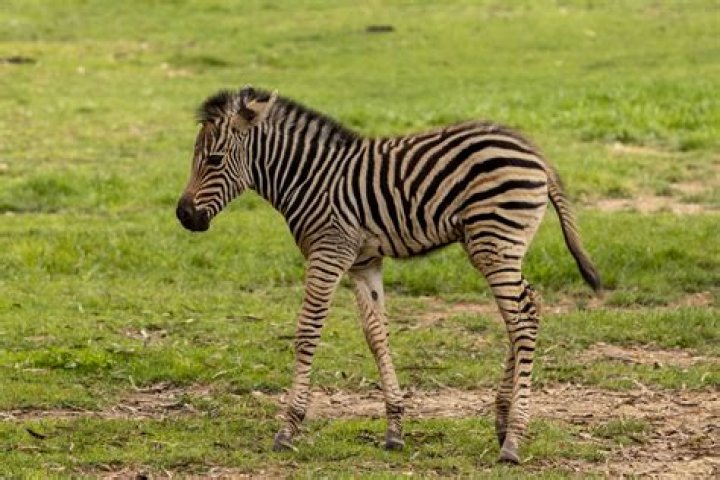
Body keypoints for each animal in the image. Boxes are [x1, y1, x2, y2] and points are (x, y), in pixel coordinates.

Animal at [176, 86, 601, 464]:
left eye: (213, 160)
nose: (183, 215)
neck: (309, 179)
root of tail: (535, 154)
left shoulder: (329, 252)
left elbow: (308, 332)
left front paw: (289, 428)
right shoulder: (363, 262)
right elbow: (376, 335)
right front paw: (395, 429)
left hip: (494, 242)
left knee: (522, 318)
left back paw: (513, 439)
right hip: (500, 247)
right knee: (527, 310)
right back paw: (500, 422)